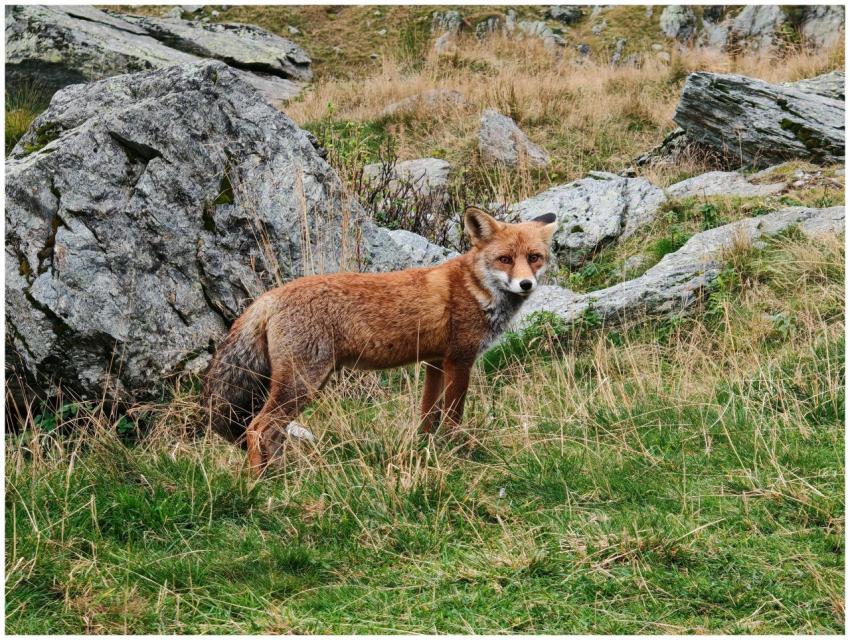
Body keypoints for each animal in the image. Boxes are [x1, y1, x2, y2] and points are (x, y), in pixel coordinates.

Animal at [202, 206, 558, 473]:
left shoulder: (434, 362)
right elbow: (453, 418)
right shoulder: (460, 360)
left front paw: (425, 450)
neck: (475, 288)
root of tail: (270, 296)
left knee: (270, 434)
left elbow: (427, 417)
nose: (526, 284)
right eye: (505, 259)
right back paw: (260, 482)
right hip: (302, 384)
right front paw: (456, 452)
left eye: (534, 257)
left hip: (307, 383)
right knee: (258, 428)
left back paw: (281, 476)